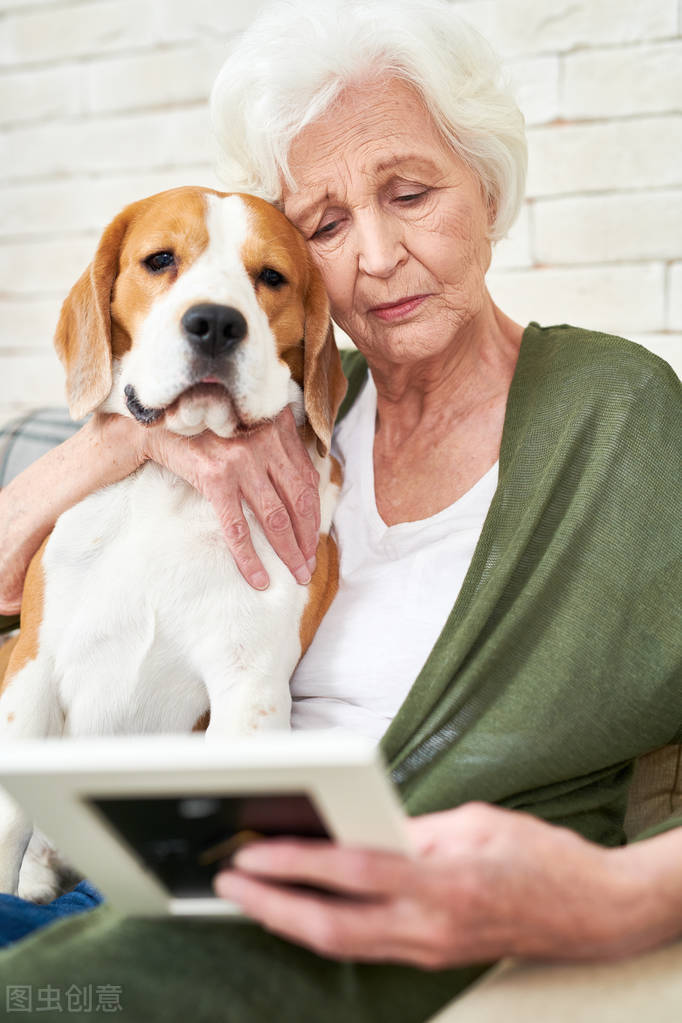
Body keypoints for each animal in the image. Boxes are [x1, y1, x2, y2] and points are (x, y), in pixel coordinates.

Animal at [0, 188, 347, 900]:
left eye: (271, 277)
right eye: (160, 260)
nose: (214, 323)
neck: (177, 482)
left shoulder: (250, 691)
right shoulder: (31, 670)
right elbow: (7, 824)